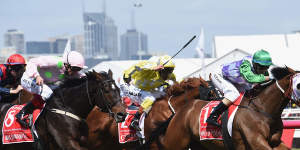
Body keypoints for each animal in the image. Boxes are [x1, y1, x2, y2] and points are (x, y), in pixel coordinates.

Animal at [157, 67, 296, 150]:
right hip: (175, 143)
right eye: (298, 86)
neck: (260, 108)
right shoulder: (255, 141)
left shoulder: (275, 142)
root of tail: (179, 113)